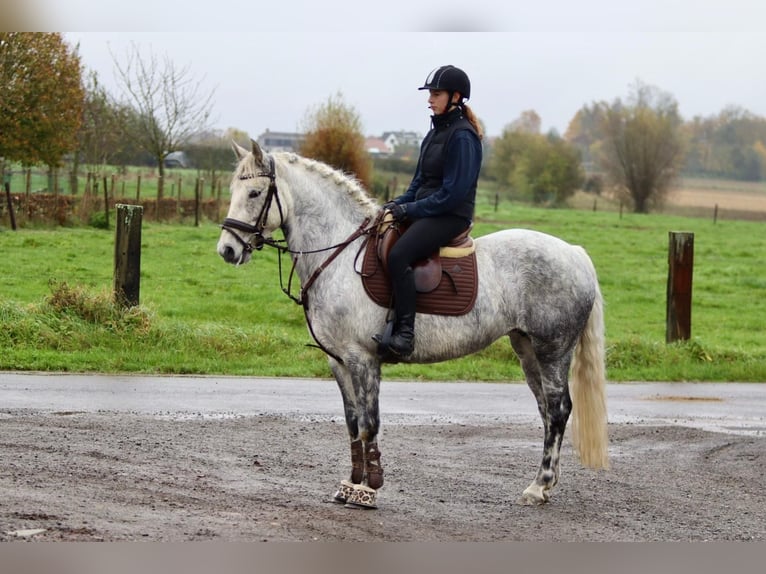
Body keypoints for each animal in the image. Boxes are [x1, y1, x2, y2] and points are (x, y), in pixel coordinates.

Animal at [219, 142, 608, 510]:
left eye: (254, 193)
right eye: (234, 190)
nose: (226, 250)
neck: (338, 256)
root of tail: (575, 253)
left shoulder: (363, 360)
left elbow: (369, 424)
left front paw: (368, 490)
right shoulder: (339, 361)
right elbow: (352, 423)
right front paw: (350, 485)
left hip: (553, 350)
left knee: (558, 410)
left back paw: (539, 486)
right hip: (527, 349)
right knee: (546, 410)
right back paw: (545, 485)